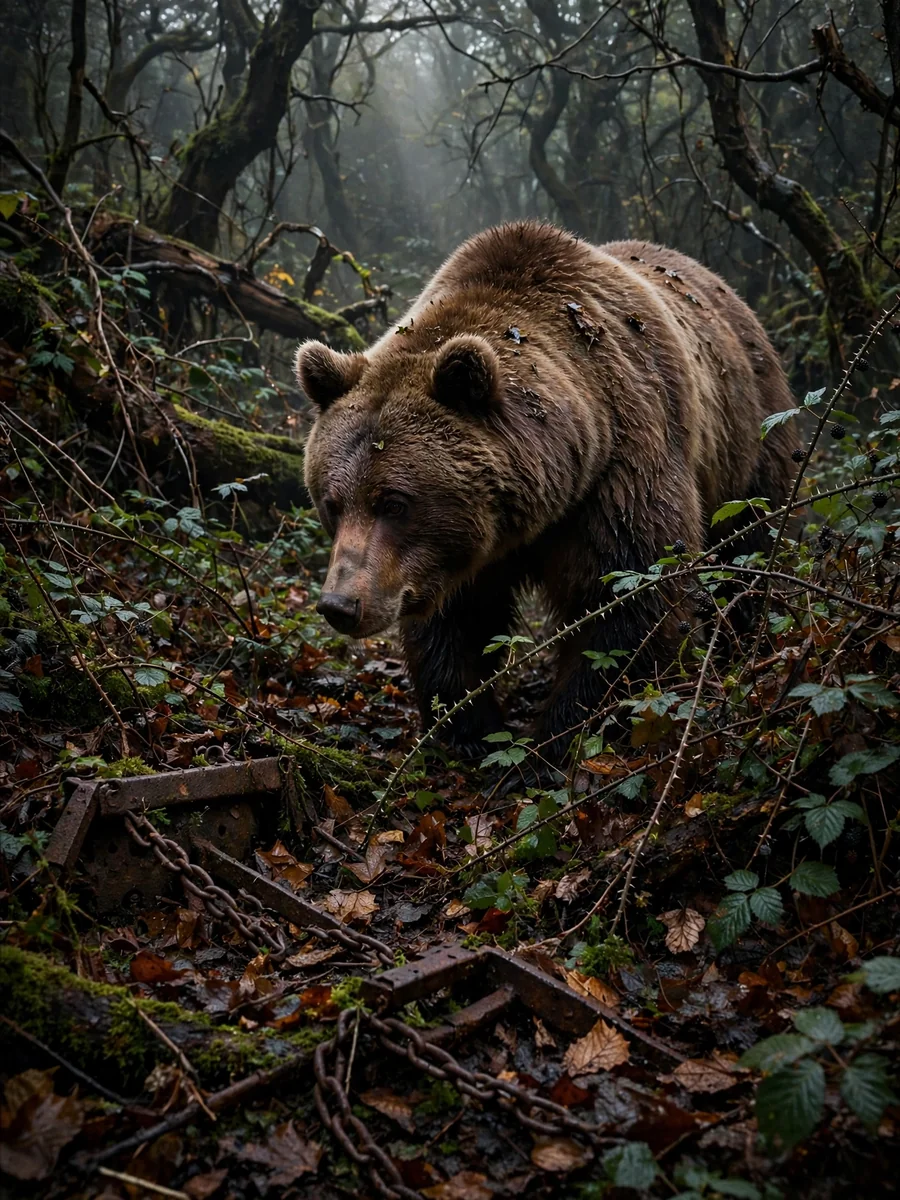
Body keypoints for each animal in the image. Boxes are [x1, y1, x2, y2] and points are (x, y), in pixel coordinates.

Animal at [295, 221, 799, 759]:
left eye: (394, 502)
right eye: (332, 503)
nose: (340, 605)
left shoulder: (620, 471)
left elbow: (627, 602)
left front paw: (554, 739)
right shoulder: (456, 554)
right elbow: (456, 621)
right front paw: (467, 729)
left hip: (749, 443)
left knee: (751, 547)